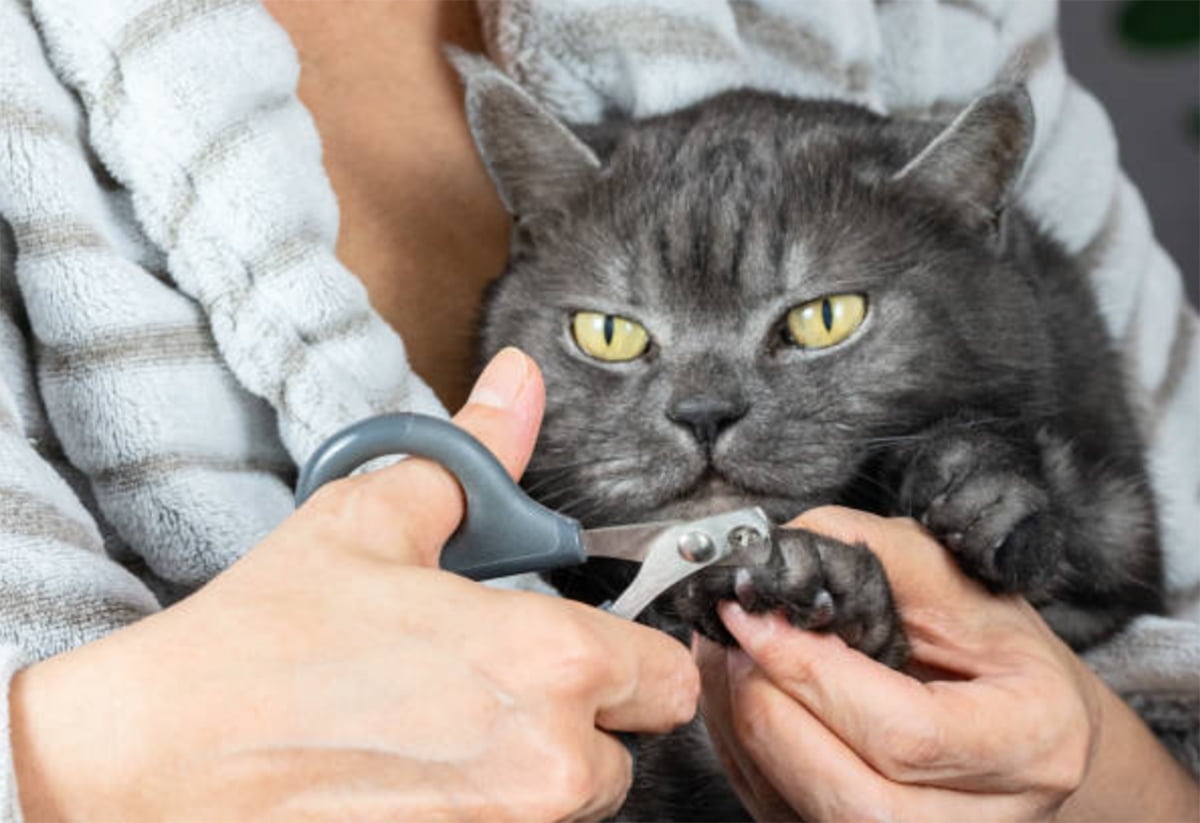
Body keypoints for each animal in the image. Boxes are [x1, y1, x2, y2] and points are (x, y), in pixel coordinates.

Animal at [451, 54, 1161, 820]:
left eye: (827, 317)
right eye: (608, 333)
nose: (704, 410)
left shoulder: (1120, 504)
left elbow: (1101, 536)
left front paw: (981, 491)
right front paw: (808, 576)